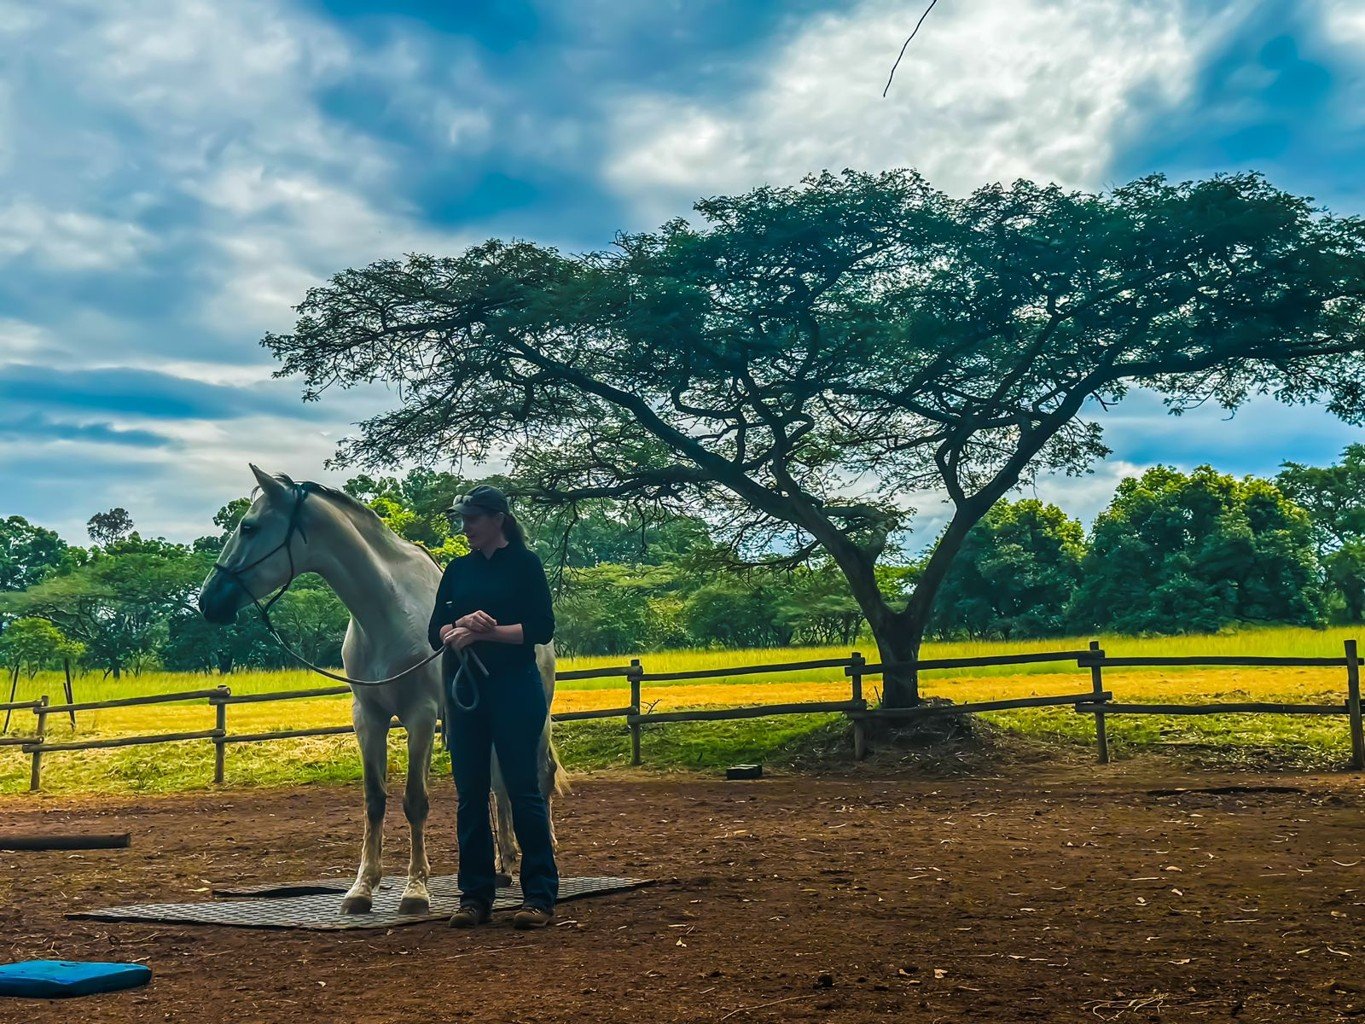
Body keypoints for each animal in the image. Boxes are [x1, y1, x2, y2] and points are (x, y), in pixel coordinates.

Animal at [197, 464, 564, 915]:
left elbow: (415, 800)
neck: (387, 611)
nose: (208, 600)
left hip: (534, 718)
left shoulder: (420, 717)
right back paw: (504, 866)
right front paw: (362, 888)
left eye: (249, 527)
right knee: (499, 784)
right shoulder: (368, 718)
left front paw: (415, 890)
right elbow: (374, 799)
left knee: (538, 776)